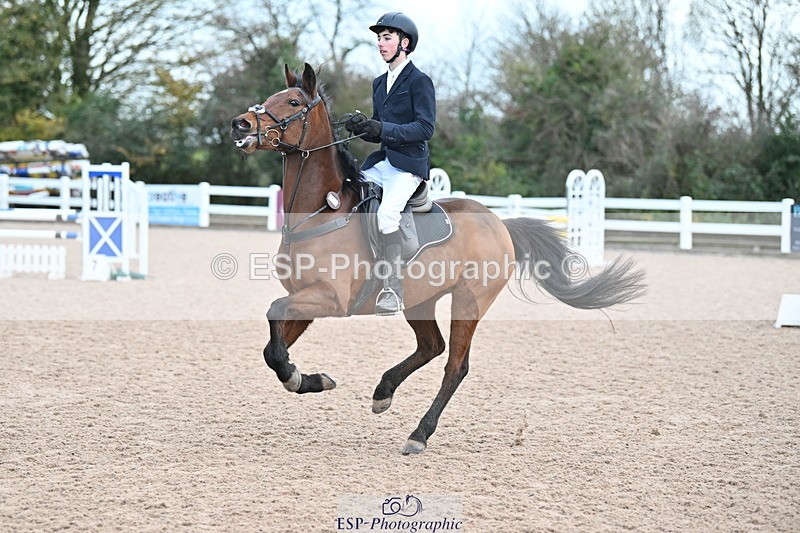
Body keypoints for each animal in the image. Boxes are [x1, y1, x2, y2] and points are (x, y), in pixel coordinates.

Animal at [230, 63, 645, 454]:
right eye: (270, 97)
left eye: (292, 103)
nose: (240, 124)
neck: (323, 209)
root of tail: (499, 222)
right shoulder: (306, 298)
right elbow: (272, 345)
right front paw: (307, 379)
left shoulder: (330, 299)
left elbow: (273, 317)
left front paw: (297, 376)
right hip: (420, 299)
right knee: (432, 346)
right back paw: (383, 392)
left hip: (469, 301)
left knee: (454, 366)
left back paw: (419, 434)